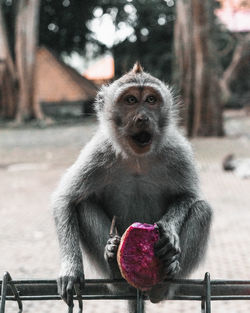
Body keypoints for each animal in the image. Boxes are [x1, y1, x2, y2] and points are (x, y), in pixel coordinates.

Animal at [51, 62, 212, 310]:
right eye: (131, 100)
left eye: (151, 100)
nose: (143, 118)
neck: (138, 159)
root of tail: (138, 288)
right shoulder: (98, 152)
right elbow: (65, 201)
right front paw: (70, 270)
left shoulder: (178, 151)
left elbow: (188, 196)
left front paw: (169, 231)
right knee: (84, 205)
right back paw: (115, 271)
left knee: (202, 209)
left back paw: (166, 278)